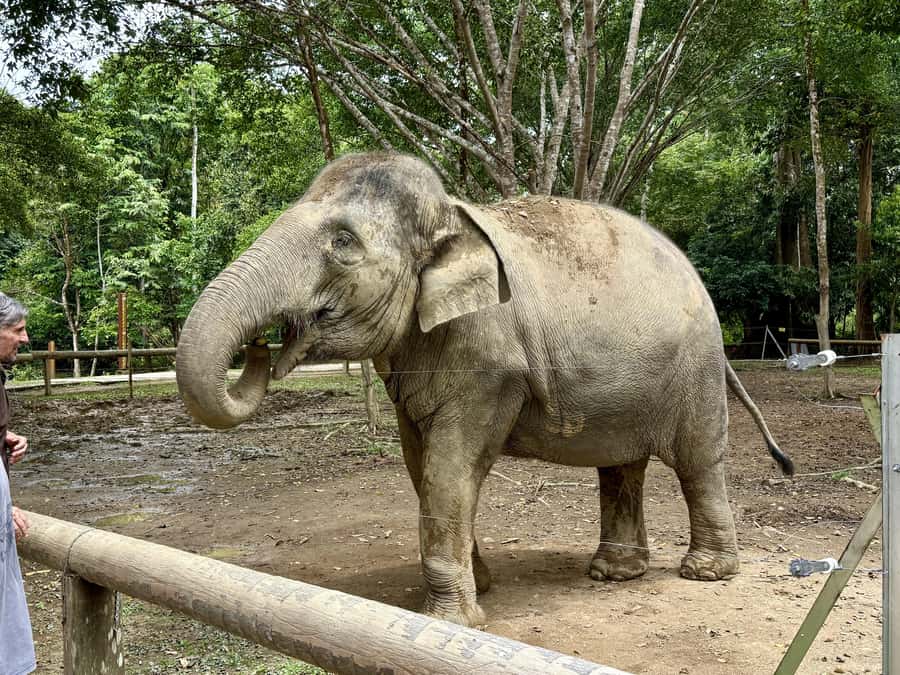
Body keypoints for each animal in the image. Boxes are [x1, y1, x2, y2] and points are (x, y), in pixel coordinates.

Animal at [176, 152, 794, 627]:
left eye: (343, 242)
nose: (259, 346)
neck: (453, 215)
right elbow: (419, 464)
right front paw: (481, 587)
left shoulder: (492, 361)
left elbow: (448, 467)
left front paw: (453, 620)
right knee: (622, 465)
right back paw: (613, 573)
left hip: (695, 370)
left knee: (696, 462)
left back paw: (704, 573)